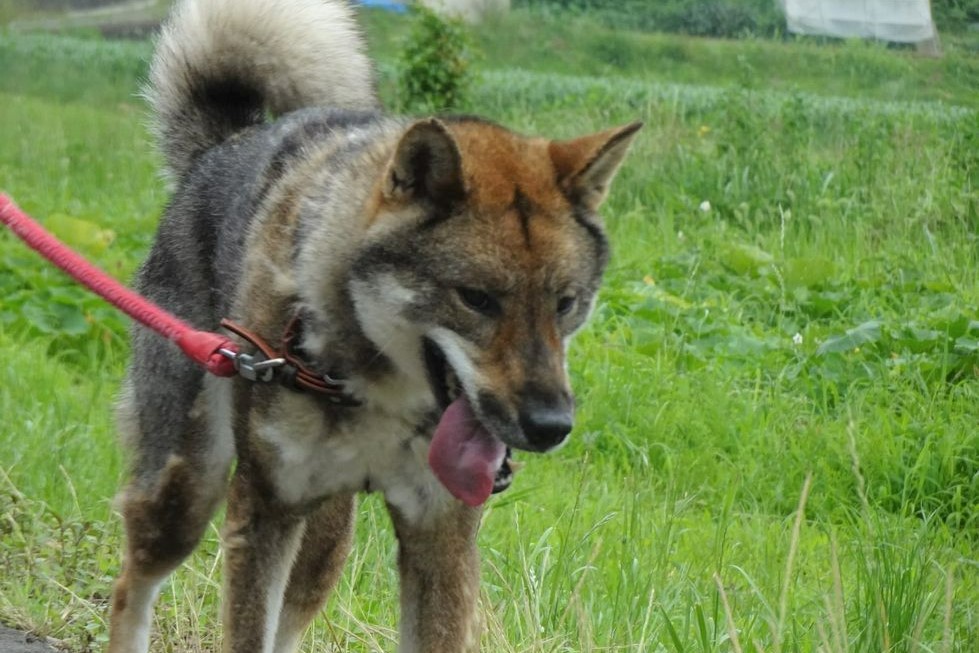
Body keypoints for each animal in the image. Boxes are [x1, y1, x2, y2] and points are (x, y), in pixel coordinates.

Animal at [109, 0, 644, 648]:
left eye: (565, 303)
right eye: (476, 299)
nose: (550, 427)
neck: (378, 391)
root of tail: (224, 144)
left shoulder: (440, 537)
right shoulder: (263, 512)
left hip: (326, 544)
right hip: (187, 492)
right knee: (130, 587)